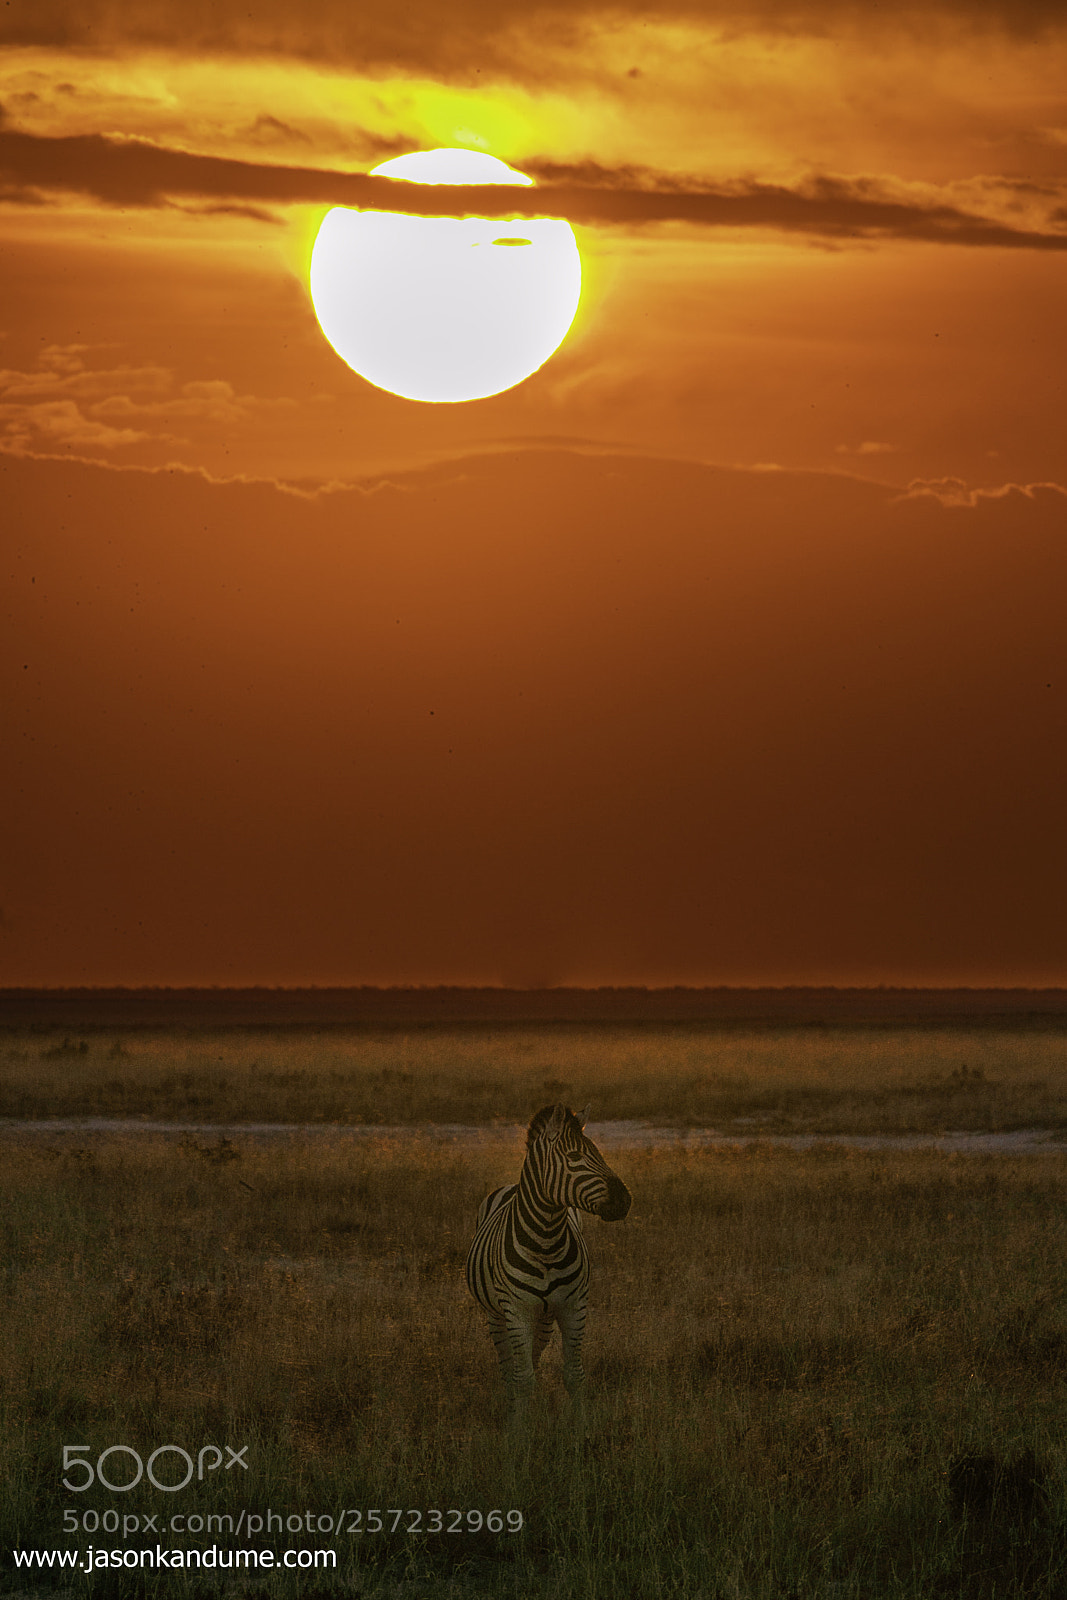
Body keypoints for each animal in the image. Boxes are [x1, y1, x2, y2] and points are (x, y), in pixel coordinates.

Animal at [465, 1104, 631, 1433]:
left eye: (598, 1152)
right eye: (575, 1157)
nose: (625, 1200)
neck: (546, 1240)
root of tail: (509, 1186)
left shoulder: (573, 1307)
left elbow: (574, 1375)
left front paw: (581, 1429)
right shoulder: (516, 1312)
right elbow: (521, 1378)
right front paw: (518, 1430)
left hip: (544, 1319)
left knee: (533, 1356)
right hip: (496, 1315)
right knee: (508, 1365)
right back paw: (511, 1405)